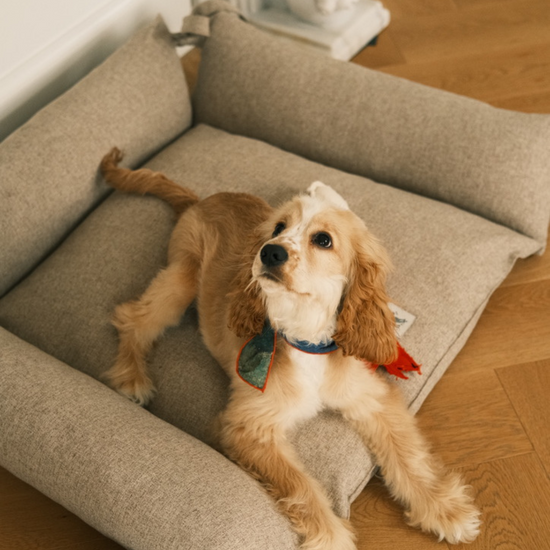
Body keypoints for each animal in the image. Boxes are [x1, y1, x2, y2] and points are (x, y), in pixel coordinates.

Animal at [101, 150, 480, 550]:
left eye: (323, 240)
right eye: (277, 228)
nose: (270, 252)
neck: (306, 333)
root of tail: (199, 200)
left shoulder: (372, 397)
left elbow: (408, 454)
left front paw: (443, 508)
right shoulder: (251, 425)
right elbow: (300, 486)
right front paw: (331, 537)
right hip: (182, 279)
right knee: (132, 318)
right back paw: (131, 377)